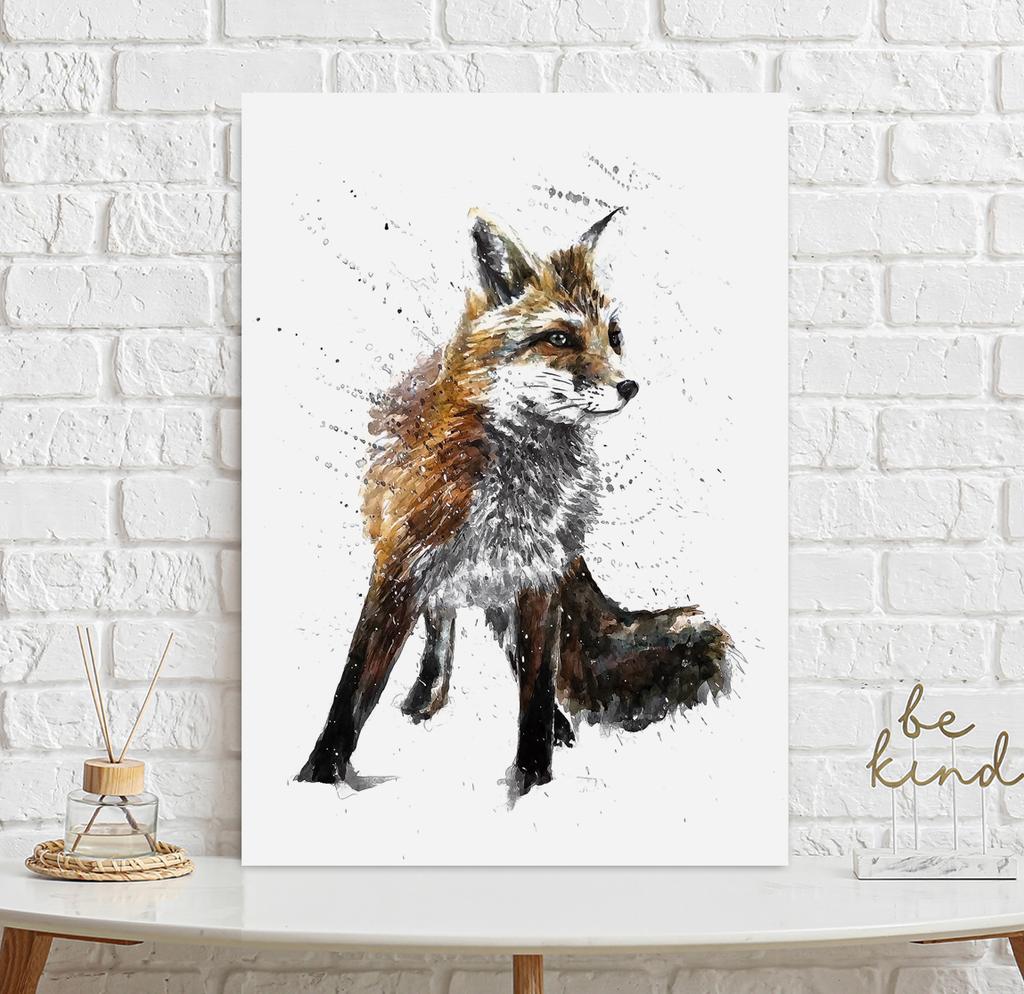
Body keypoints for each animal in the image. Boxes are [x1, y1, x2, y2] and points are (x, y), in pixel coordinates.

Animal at [297, 208, 732, 795]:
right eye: (559, 338)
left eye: (614, 336)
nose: (630, 386)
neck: (513, 486)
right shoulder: (400, 567)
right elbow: (353, 687)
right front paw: (320, 775)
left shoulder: (538, 578)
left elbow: (536, 690)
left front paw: (533, 778)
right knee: (443, 621)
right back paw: (427, 695)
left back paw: (551, 725)